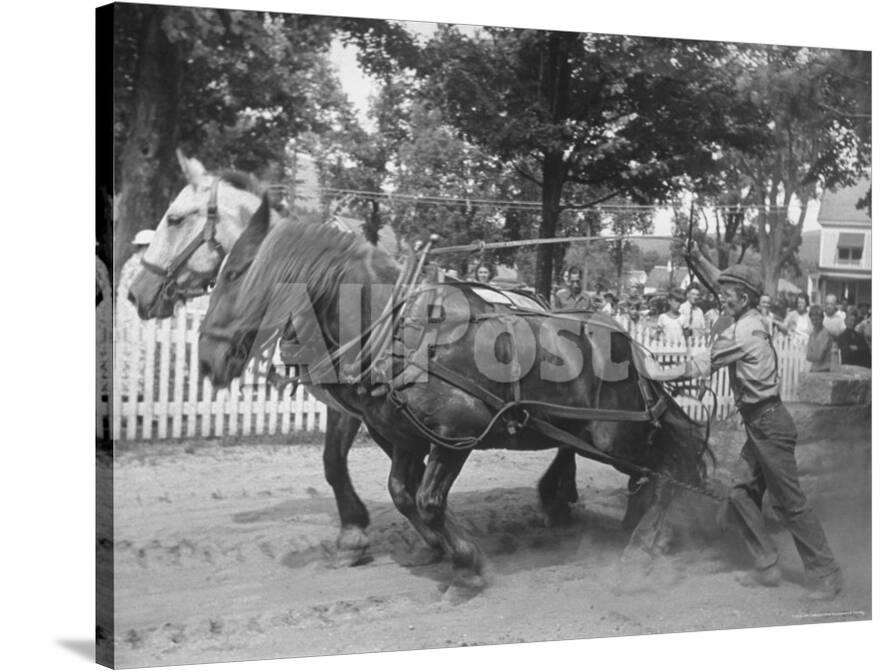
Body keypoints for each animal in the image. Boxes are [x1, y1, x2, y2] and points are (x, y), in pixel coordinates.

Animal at [201, 203, 712, 592]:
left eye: (236, 273)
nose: (209, 357)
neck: (395, 329)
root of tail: (624, 338)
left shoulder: (455, 434)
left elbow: (428, 499)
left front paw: (467, 565)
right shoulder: (403, 435)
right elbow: (402, 493)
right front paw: (437, 548)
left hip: (615, 434)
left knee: (670, 463)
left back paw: (646, 543)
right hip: (600, 429)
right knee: (673, 450)